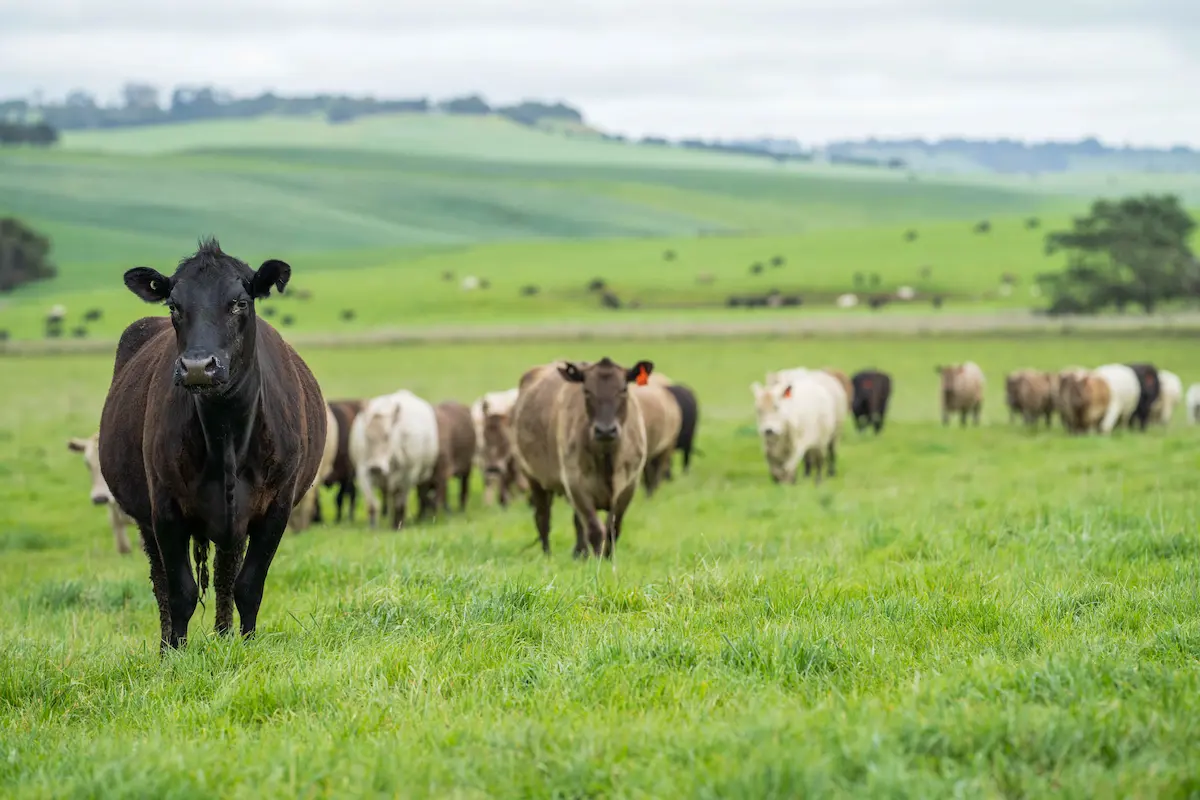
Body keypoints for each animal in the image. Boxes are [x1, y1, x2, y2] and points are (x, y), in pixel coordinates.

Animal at [98, 240, 327, 650]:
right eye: (174, 305)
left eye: (240, 302)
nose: (197, 367)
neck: (226, 434)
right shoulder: (164, 508)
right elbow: (180, 592)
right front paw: (175, 653)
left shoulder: (276, 507)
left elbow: (248, 586)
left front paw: (247, 646)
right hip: (147, 518)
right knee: (162, 583)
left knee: (224, 575)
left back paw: (224, 636)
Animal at [350, 390, 440, 530]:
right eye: (367, 435)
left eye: (387, 435)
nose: (376, 467)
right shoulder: (363, 472)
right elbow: (372, 504)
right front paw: (372, 527)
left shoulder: (408, 476)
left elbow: (400, 504)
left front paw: (397, 526)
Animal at [511, 357, 652, 558]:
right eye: (586, 391)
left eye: (623, 389)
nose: (605, 430)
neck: (607, 459)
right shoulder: (576, 483)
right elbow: (595, 529)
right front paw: (598, 561)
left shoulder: (629, 485)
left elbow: (612, 528)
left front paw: (608, 559)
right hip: (534, 478)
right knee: (542, 518)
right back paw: (548, 555)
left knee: (576, 521)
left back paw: (580, 553)